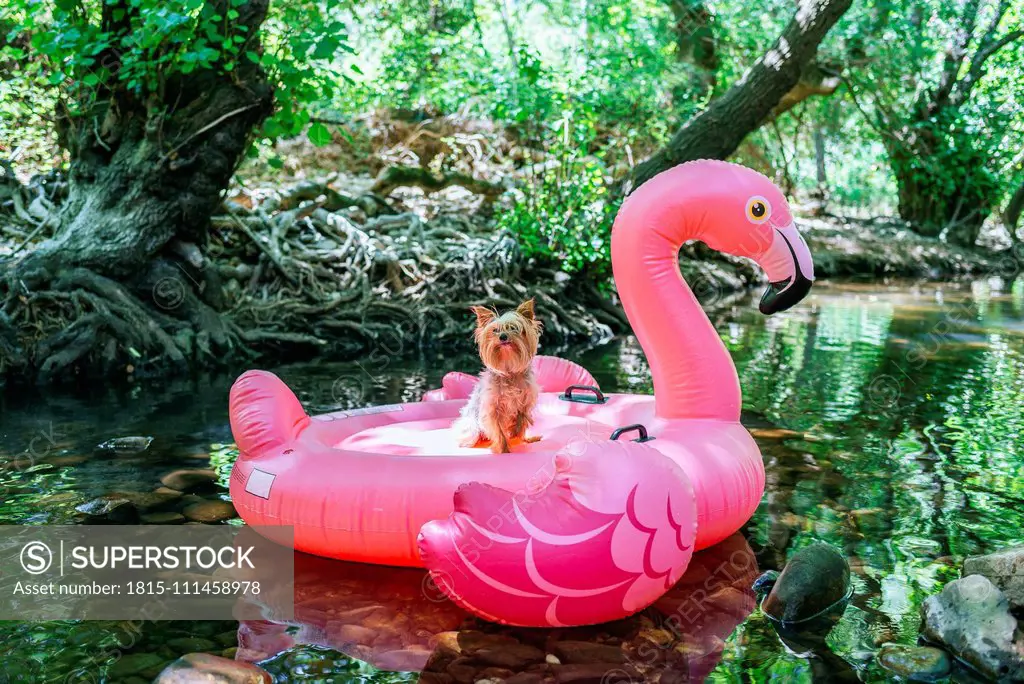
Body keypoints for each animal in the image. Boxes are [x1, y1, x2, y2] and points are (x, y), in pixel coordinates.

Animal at [452, 298, 540, 454]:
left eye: (513, 328)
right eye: (495, 330)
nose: (503, 336)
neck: (509, 369)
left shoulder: (526, 401)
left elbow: (522, 419)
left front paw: (516, 433)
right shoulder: (492, 409)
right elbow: (499, 432)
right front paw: (504, 450)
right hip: (471, 425)